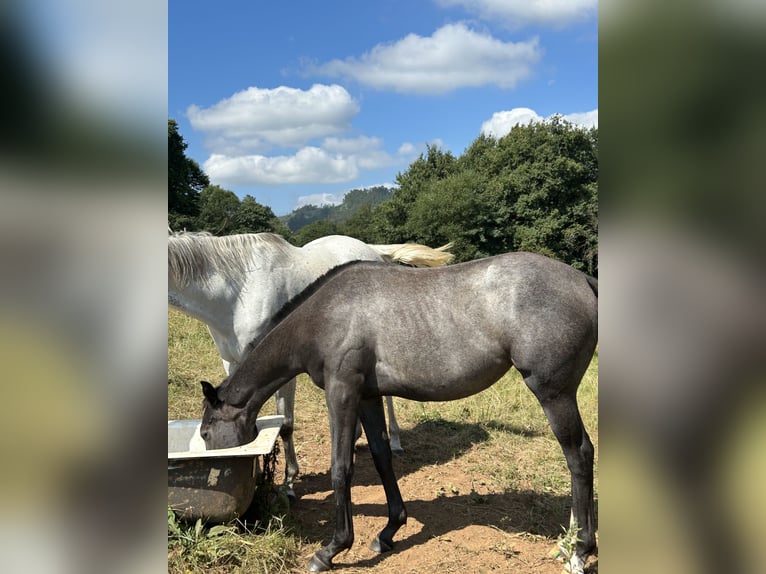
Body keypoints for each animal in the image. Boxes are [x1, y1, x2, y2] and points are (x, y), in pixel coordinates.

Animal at [166, 233, 450, 500]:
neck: (236, 292)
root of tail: (371, 249)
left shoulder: (282, 365)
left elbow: (287, 424)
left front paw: (289, 484)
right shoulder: (233, 364)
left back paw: (395, 441)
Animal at [200, 254, 600, 572]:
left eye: (205, 433)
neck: (324, 316)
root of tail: (584, 279)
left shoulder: (341, 392)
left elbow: (341, 468)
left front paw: (332, 549)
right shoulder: (367, 396)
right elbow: (381, 458)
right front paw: (389, 530)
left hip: (554, 394)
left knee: (579, 456)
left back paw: (578, 550)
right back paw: (574, 541)